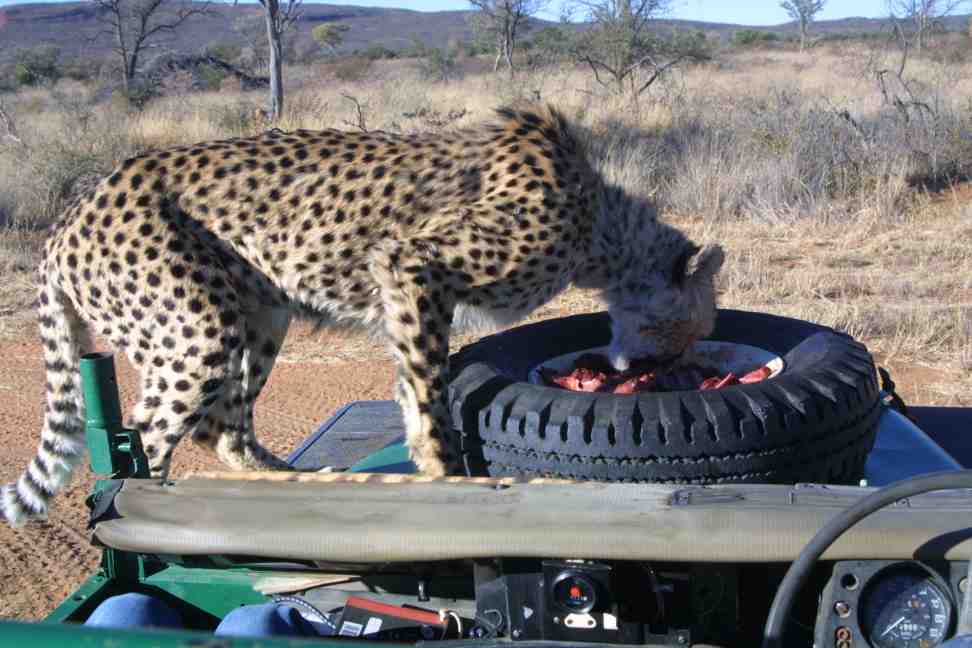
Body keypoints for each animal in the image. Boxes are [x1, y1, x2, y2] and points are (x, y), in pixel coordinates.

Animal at [3, 102, 724, 528]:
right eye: (690, 331)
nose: (669, 370)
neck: (599, 227)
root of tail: (73, 211)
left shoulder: (406, 288)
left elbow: (411, 383)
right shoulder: (413, 263)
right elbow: (428, 390)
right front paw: (446, 475)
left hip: (262, 313)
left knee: (222, 427)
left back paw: (289, 481)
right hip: (196, 330)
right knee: (145, 441)